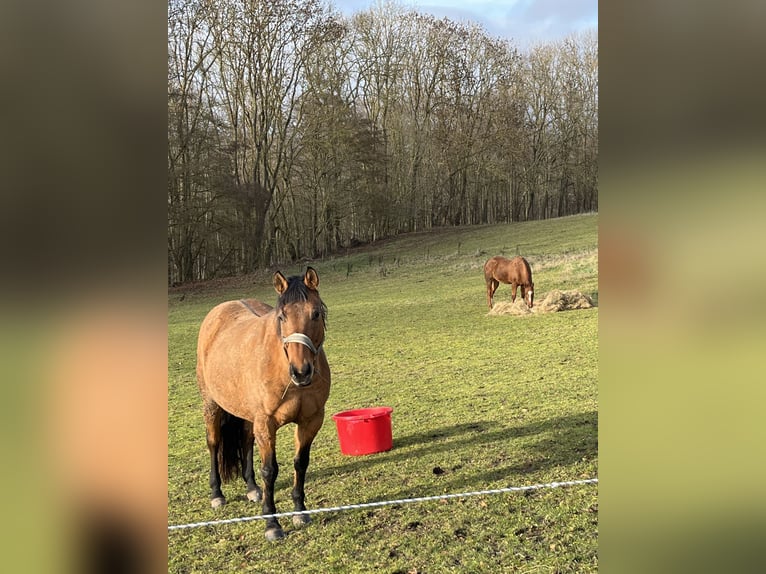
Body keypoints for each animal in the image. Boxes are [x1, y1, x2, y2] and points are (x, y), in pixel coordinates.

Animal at [196, 267, 330, 540]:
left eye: (316, 313)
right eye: (281, 316)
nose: (301, 372)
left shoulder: (311, 421)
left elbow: (300, 463)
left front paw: (300, 511)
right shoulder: (267, 424)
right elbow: (270, 470)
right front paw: (272, 523)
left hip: (248, 416)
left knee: (246, 442)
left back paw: (251, 488)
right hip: (212, 405)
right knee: (213, 443)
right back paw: (217, 494)